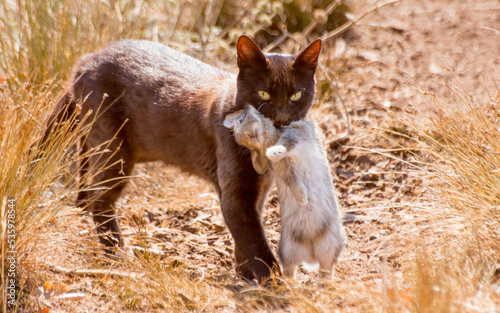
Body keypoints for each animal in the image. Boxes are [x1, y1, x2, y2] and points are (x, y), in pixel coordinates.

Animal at [45, 35, 322, 282]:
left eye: (296, 95)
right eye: (264, 94)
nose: (282, 118)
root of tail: (86, 59)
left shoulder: (257, 192)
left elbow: (244, 238)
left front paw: (244, 275)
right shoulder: (236, 196)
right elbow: (256, 243)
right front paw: (274, 285)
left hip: (93, 140)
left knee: (86, 179)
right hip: (114, 151)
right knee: (100, 201)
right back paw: (116, 254)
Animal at [225, 105, 346, 282]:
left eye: (241, 120)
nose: (249, 137)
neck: (270, 137)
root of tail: (310, 251)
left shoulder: (294, 136)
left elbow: (285, 144)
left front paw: (272, 152)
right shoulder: (284, 170)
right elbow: (291, 179)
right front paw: (303, 199)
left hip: (331, 243)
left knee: (326, 268)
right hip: (288, 248)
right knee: (292, 268)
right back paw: (289, 284)